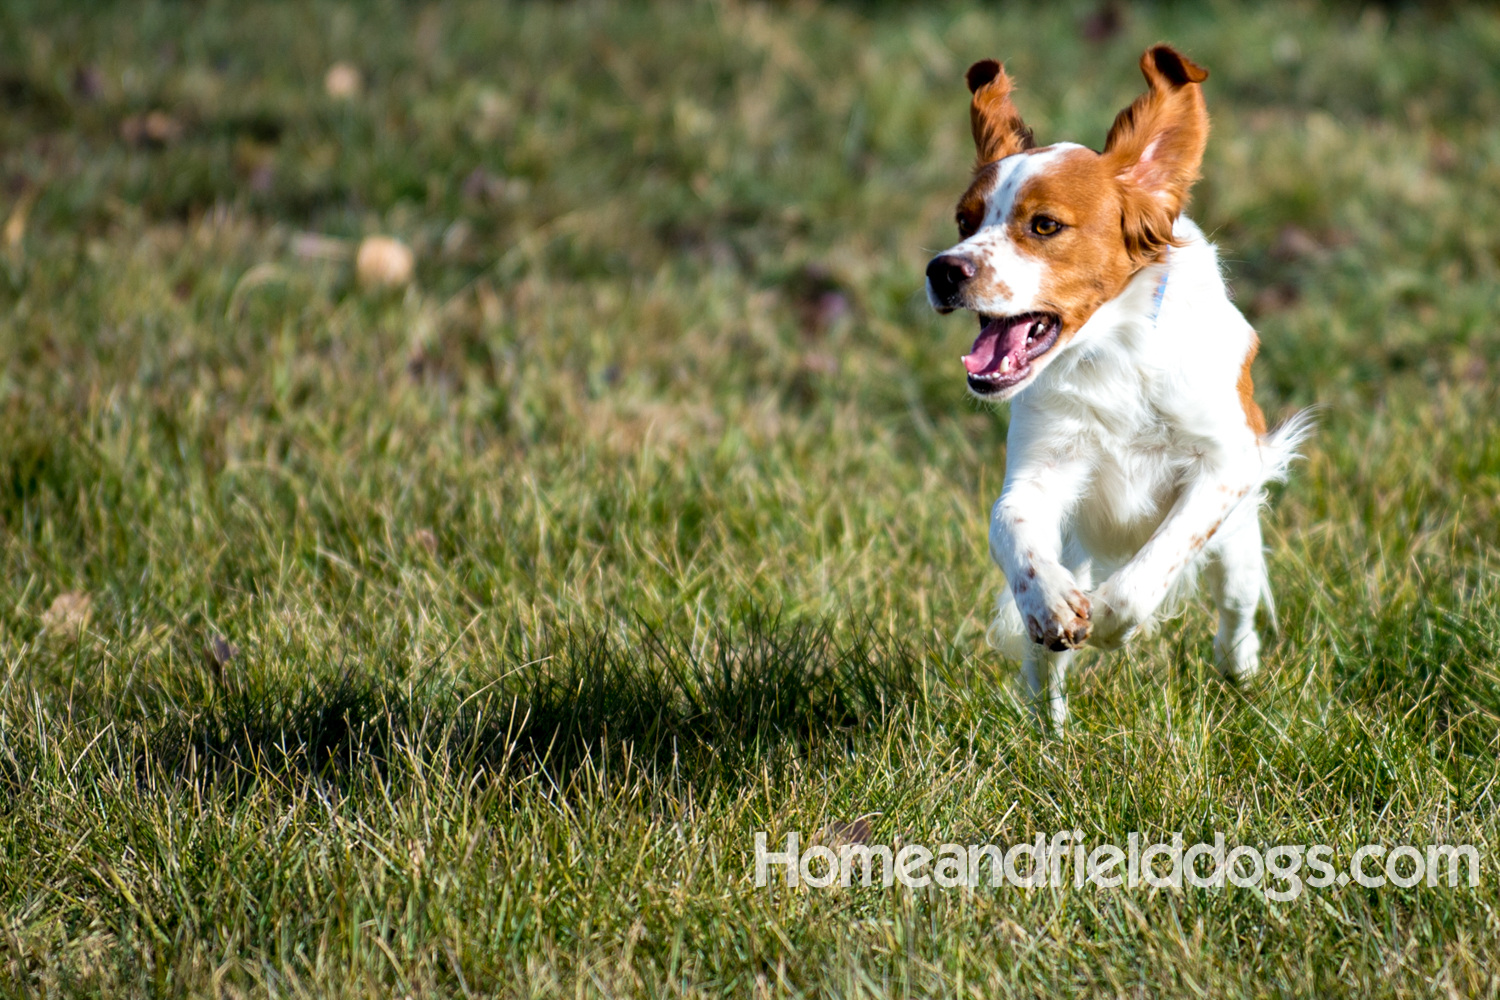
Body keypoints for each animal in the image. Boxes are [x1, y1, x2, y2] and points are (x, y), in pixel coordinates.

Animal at [930, 44, 1308, 728]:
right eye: (964, 221)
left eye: (1044, 225)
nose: (942, 270)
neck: (1110, 356)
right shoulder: (1042, 469)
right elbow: (1009, 525)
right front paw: (1055, 603)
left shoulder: (1227, 463)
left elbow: (1154, 563)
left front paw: (1108, 619)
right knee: (1043, 673)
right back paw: (1048, 736)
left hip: (1239, 545)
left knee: (1236, 610)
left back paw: (1241, 675)